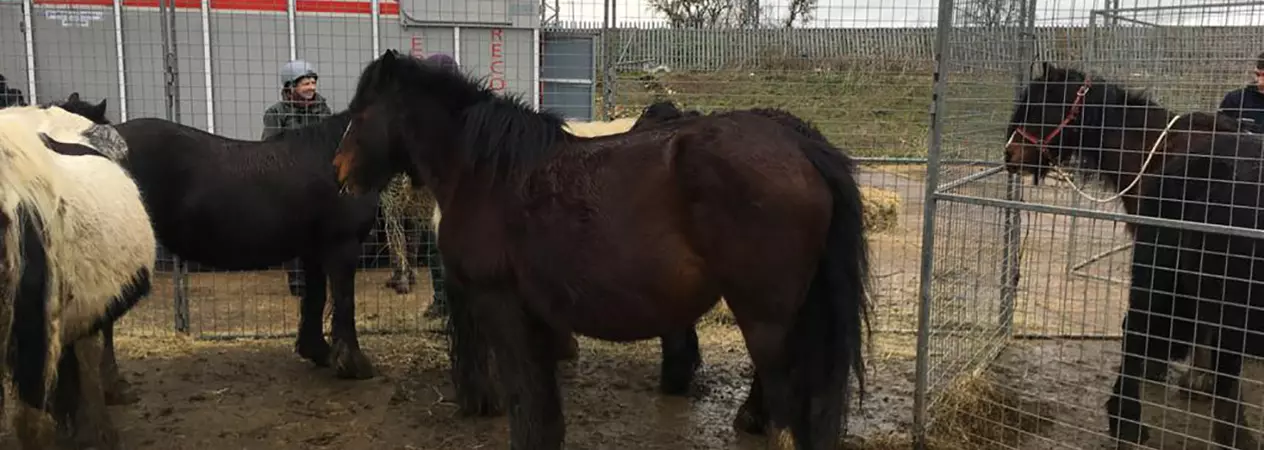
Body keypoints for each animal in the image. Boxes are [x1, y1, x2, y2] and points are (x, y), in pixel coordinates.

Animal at [54, 93, 386, 384]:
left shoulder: (313, 250)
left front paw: (319, 352)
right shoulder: (341, 246)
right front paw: (354, 365)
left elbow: (315, 299)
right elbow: (344, 302)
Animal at [332, 49, 872, 450]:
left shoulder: (502, 309)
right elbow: (544, 409)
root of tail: (801, 146)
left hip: (767, 325)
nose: (339, 172)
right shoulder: (539, 320)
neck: (487, 174)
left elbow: (526, 405)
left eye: (361, 112)